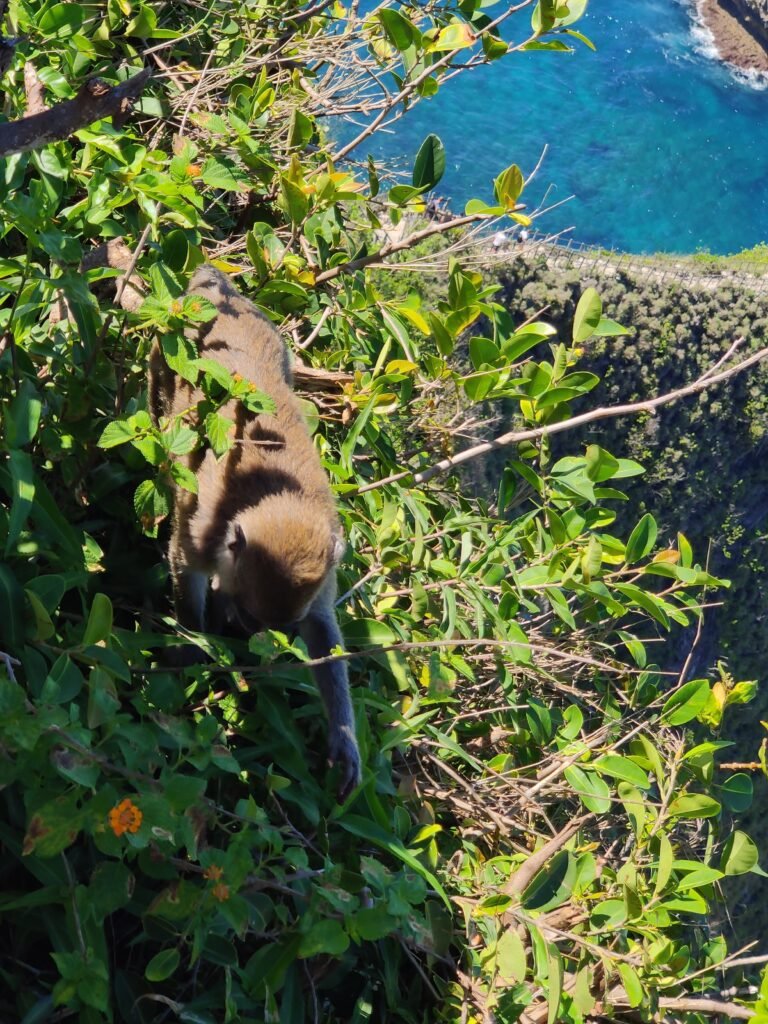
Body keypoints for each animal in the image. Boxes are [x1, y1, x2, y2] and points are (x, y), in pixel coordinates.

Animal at [148, 265, 361, 801]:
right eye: (251, 617)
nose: (250, 635)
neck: (271, 496)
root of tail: (216, 287)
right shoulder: (202, 530)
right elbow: (185, 569)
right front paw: (191, 647)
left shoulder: (326, 567)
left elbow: (322, 630)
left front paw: (344, 739)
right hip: (165, 348)